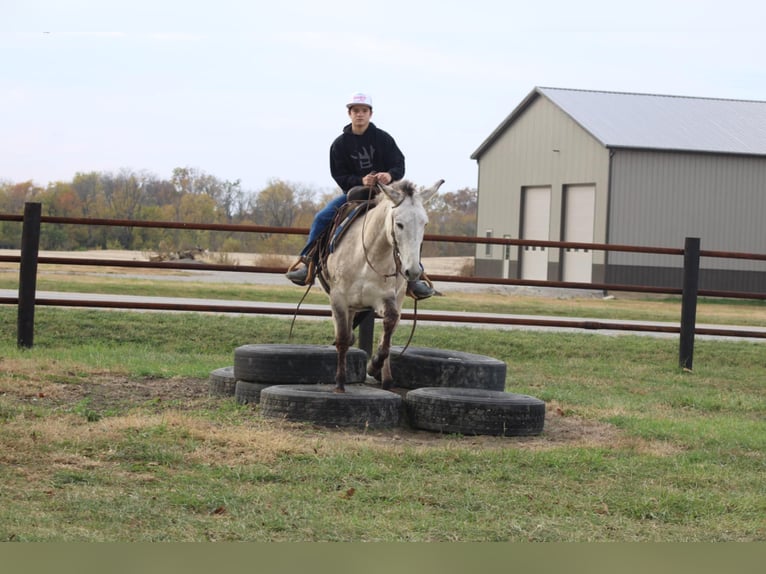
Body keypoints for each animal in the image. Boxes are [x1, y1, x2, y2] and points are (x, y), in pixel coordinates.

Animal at [320, 181, 448, 396]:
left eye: (425, 224)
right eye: (399, 224)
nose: (413, 271)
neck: (367, 256)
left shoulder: (385, 299)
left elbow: (388, 329)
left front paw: (374, 365)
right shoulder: (338, 298)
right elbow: (343, 338)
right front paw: (339, 384)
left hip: (398, 299)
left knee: (389, 333)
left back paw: (387, 380)